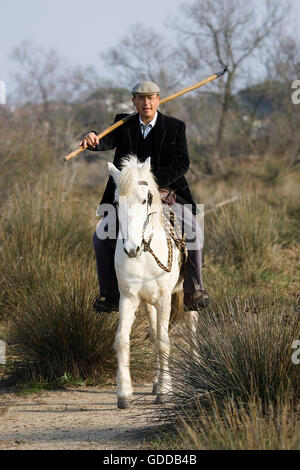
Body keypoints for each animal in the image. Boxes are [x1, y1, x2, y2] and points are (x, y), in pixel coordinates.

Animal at [106, 155, 198, 408]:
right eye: (116, 201)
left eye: (145, 199)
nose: (131, 249)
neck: (146, 250)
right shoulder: (129, 297)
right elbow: (123, 340)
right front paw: (124, 393)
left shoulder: (165, 298)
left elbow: (164, 342)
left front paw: (165, 391)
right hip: (148, 303)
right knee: (155, 331)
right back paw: (156, 381)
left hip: (186, 296)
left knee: (191, 329)